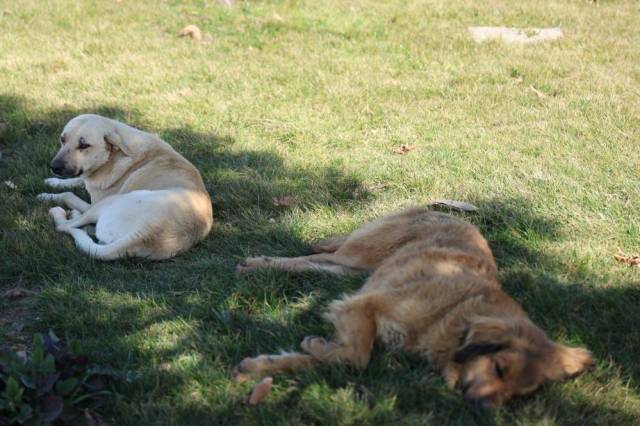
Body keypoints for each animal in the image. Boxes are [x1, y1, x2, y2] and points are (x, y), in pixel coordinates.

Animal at [37, 113, 212, 260]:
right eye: (62, 139)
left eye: (84, 146)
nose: (54, 167)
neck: (113, 156)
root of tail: (145, 235)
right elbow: (78, 180)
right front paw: (53, 182)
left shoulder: (93, 203)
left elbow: (68, 194)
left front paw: (47, 195)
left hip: (110, 202)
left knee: (64, 226)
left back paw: (61, 213)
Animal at [232, 208, 592, 408]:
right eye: (499, 368)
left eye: (522, 394)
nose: (486, 411)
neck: (455, 315)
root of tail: (447, 212)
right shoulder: (364, 305)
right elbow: (356, 358)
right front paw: (315, 347)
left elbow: (322, 361)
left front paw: (259, 366)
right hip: (359, 255)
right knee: (318, 254)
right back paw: (257, 265)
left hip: (351, 270)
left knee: (315, 264)